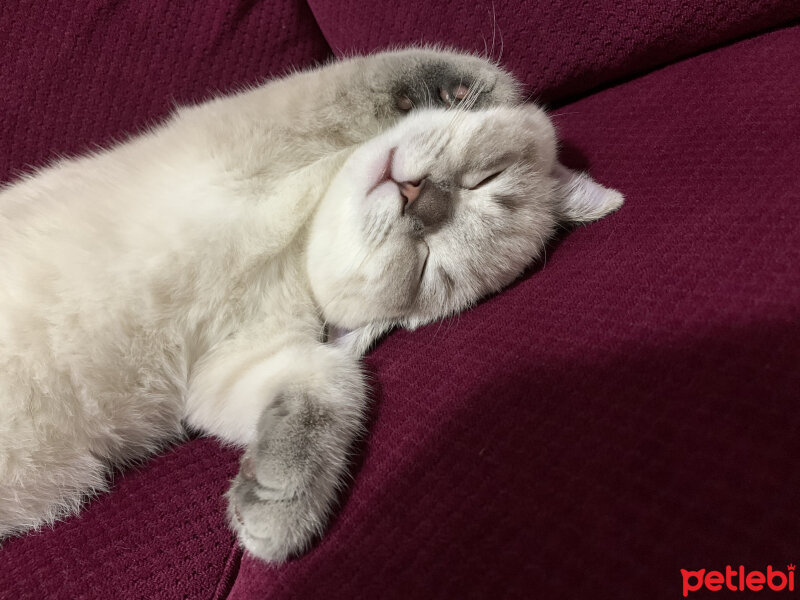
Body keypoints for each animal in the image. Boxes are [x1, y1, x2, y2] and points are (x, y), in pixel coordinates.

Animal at [0, 48, 624, 564]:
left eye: (427, 264)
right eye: (482, 182)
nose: (420, 199)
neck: (293, 246)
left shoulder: (232, 366)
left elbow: (337, 384)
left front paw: (271, 513)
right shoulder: (248, 132)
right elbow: (347, 83)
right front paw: (468, 85)